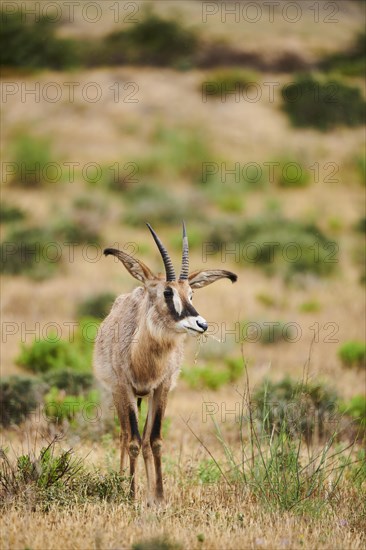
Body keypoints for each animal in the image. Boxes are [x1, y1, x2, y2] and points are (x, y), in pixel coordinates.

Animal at [94, 223, 237, 504]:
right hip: (120, 394)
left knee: (145, 440)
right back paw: (121, 483)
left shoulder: (161, 388)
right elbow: (133, 440)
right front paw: (131, 495)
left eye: (191, 293)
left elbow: (155, 440)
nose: (201, 324)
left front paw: (158, 497)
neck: (143, 357)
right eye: (167, 292)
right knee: (125, 434)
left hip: (146, 396)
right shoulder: (125, 388)